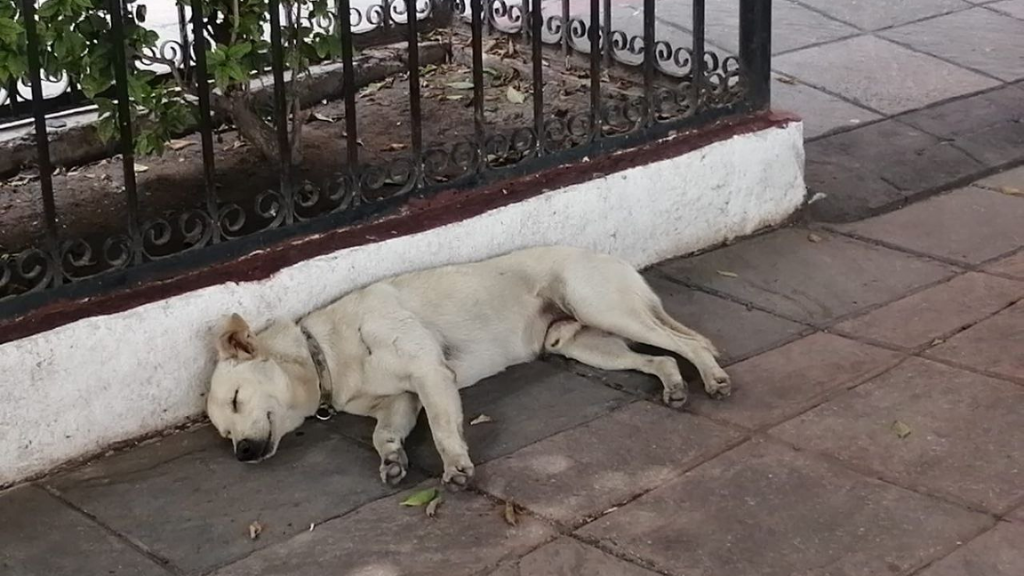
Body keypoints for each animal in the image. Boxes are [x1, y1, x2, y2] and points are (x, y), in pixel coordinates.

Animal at [205, 243, 729, 485]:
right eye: (225, 434)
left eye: (237, 399)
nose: (242, 453)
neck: (326, 355)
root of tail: (611, 257)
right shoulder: (400, 402)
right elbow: (382, 435)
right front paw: (393, 459)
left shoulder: (431, 375)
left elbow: (442, 428)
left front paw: (456, 464)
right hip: (584, 344)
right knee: (662, 359)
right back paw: (674, 387)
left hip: (603, 307)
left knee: (686, 341)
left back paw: (714, 376)